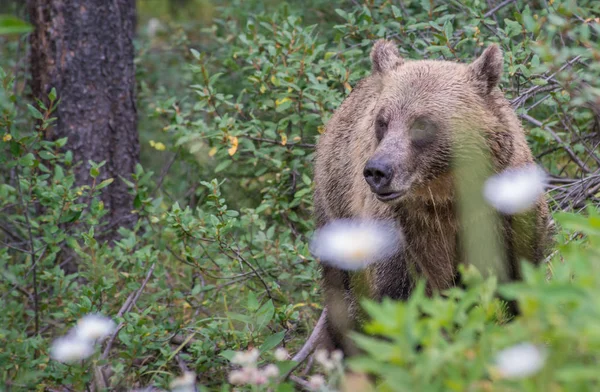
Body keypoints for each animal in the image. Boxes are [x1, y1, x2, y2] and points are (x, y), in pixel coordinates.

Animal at [298, 39, 552, 358]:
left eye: (421, 124)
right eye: (382, 121)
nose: (377, 170)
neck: (445, 195)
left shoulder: (505, 215)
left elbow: (520, 276)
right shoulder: (405, 234)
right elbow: (399, 301)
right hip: (336, 215)